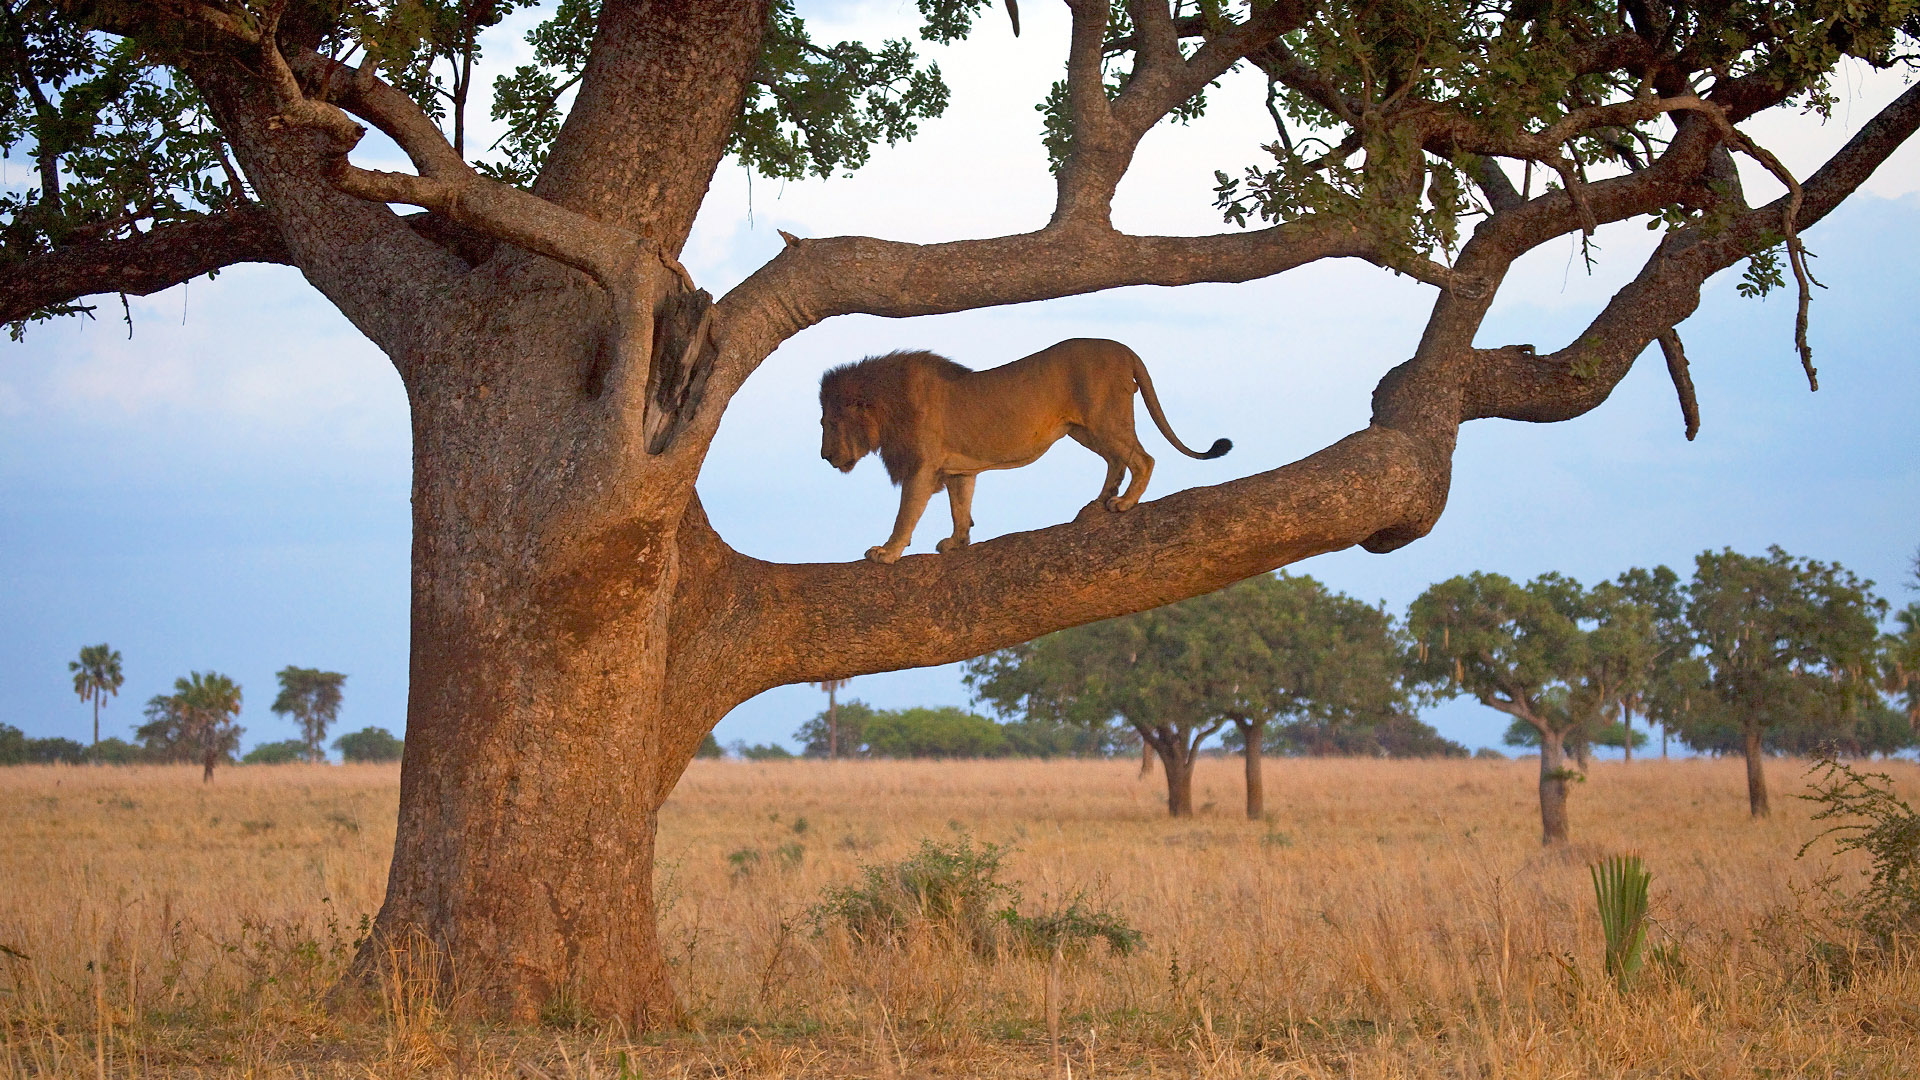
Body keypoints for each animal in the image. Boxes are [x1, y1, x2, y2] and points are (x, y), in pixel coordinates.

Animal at [814, 336, 1228, 564]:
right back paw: (1099, 503)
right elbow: (960, 507)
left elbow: (905, 515)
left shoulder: (921, 467)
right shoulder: (958, 469)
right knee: (1117, 461)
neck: (886, 408)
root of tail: (1125, 350)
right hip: (1083, 430)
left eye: (828, 424)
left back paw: (1124, 503)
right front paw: (957, 543)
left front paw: (887, 553)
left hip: (1104, 420)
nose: (824, 456)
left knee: (1142, 459)